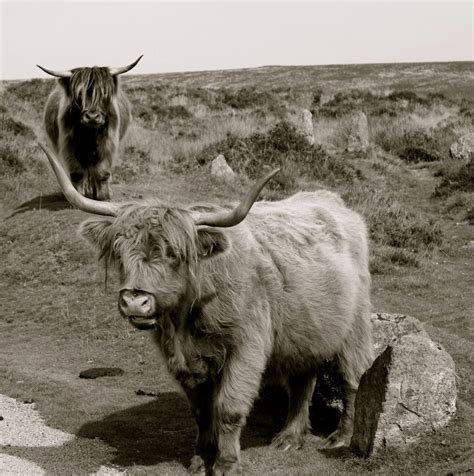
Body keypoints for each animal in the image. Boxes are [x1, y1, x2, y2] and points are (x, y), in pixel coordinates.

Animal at [37, 56, 142, 201]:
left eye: (104, 92)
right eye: (79, 94)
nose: (92, 117)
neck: (89, 135)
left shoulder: (108, 143)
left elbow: (102, 172)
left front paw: (103, 195)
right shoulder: (68, 145)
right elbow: (77, 173)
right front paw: (80, 195)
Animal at [39, 142, 374, 476]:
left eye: (175, 254)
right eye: (119, 251)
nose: (135, 301)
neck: (186, 318)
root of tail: (332, 202)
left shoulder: (246, 348)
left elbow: (228, 408)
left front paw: (226, 464)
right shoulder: (182, 360)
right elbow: (201, 411)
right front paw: (201, 458)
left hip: (355, 328)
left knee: (353, 379)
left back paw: (340, 438)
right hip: (304, 331)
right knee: (303, 381)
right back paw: (290, 437)